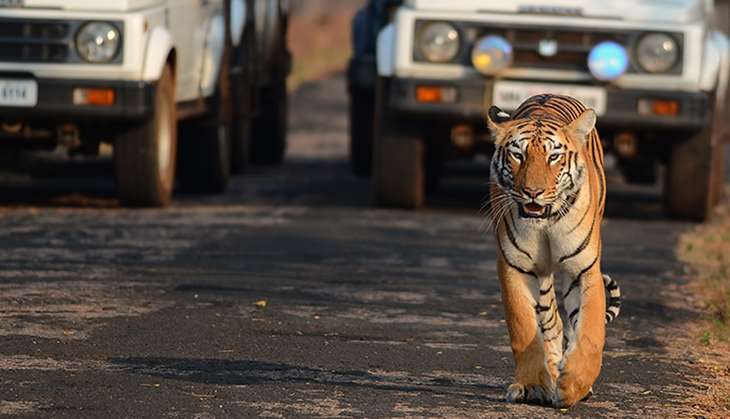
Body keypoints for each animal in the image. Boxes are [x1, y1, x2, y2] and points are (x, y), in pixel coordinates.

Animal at [484, 93, 620, 408]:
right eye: (518, 155)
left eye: (553, 157)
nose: (533, 192)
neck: (544, 220)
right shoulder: (514, 267)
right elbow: (524, 328)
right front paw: (533, 385)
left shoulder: (584, 270)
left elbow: (590, 332)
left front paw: (574, 385)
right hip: (542, 278)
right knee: (552, 322)